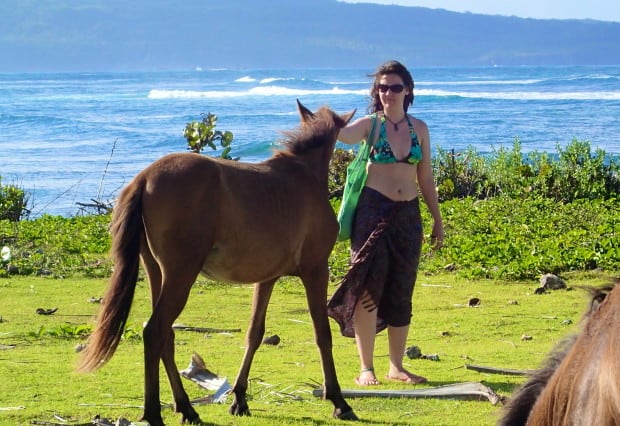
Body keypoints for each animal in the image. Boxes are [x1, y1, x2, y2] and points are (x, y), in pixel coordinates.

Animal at [79, 101, 356, 424]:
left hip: (156, 272)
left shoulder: (267, 278)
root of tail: (145, 177)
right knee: (155, 331)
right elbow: (322, 333)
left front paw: (239, 399)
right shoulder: (316, 270)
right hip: (180, 274)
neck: (303, 175)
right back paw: (154, 412)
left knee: (166, 336)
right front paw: (338, 400)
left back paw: (185, 407)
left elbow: (254, 334)